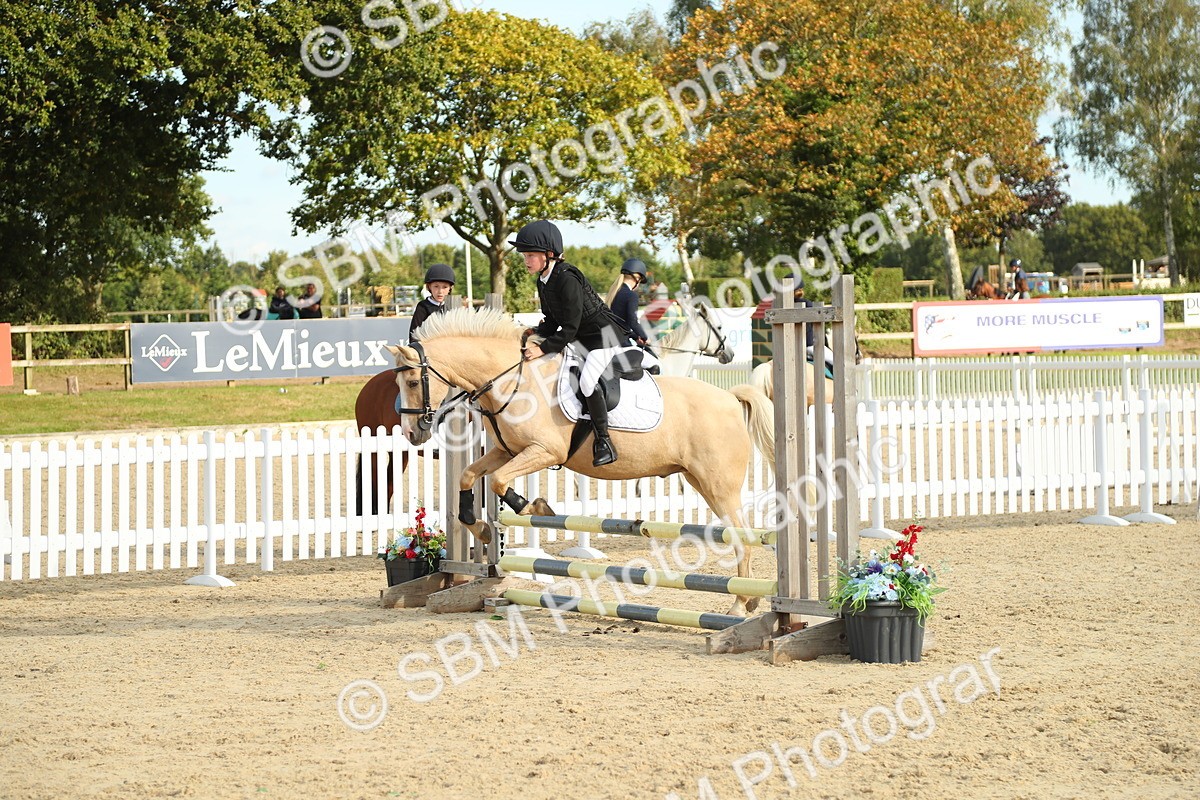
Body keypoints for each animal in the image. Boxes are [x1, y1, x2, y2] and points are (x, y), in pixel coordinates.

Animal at [386, 306, 776, 616]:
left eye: (412, 381)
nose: (412, 433)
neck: (512, 378)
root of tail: (730, 398)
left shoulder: (544, 451)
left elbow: (498, 482)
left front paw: (534, 506)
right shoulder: (506, 452)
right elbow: (468, 477)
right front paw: (482, 528)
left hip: (719, 485)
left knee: (742, 536)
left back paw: (740, 604)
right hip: (702, 482)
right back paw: (750, 600)